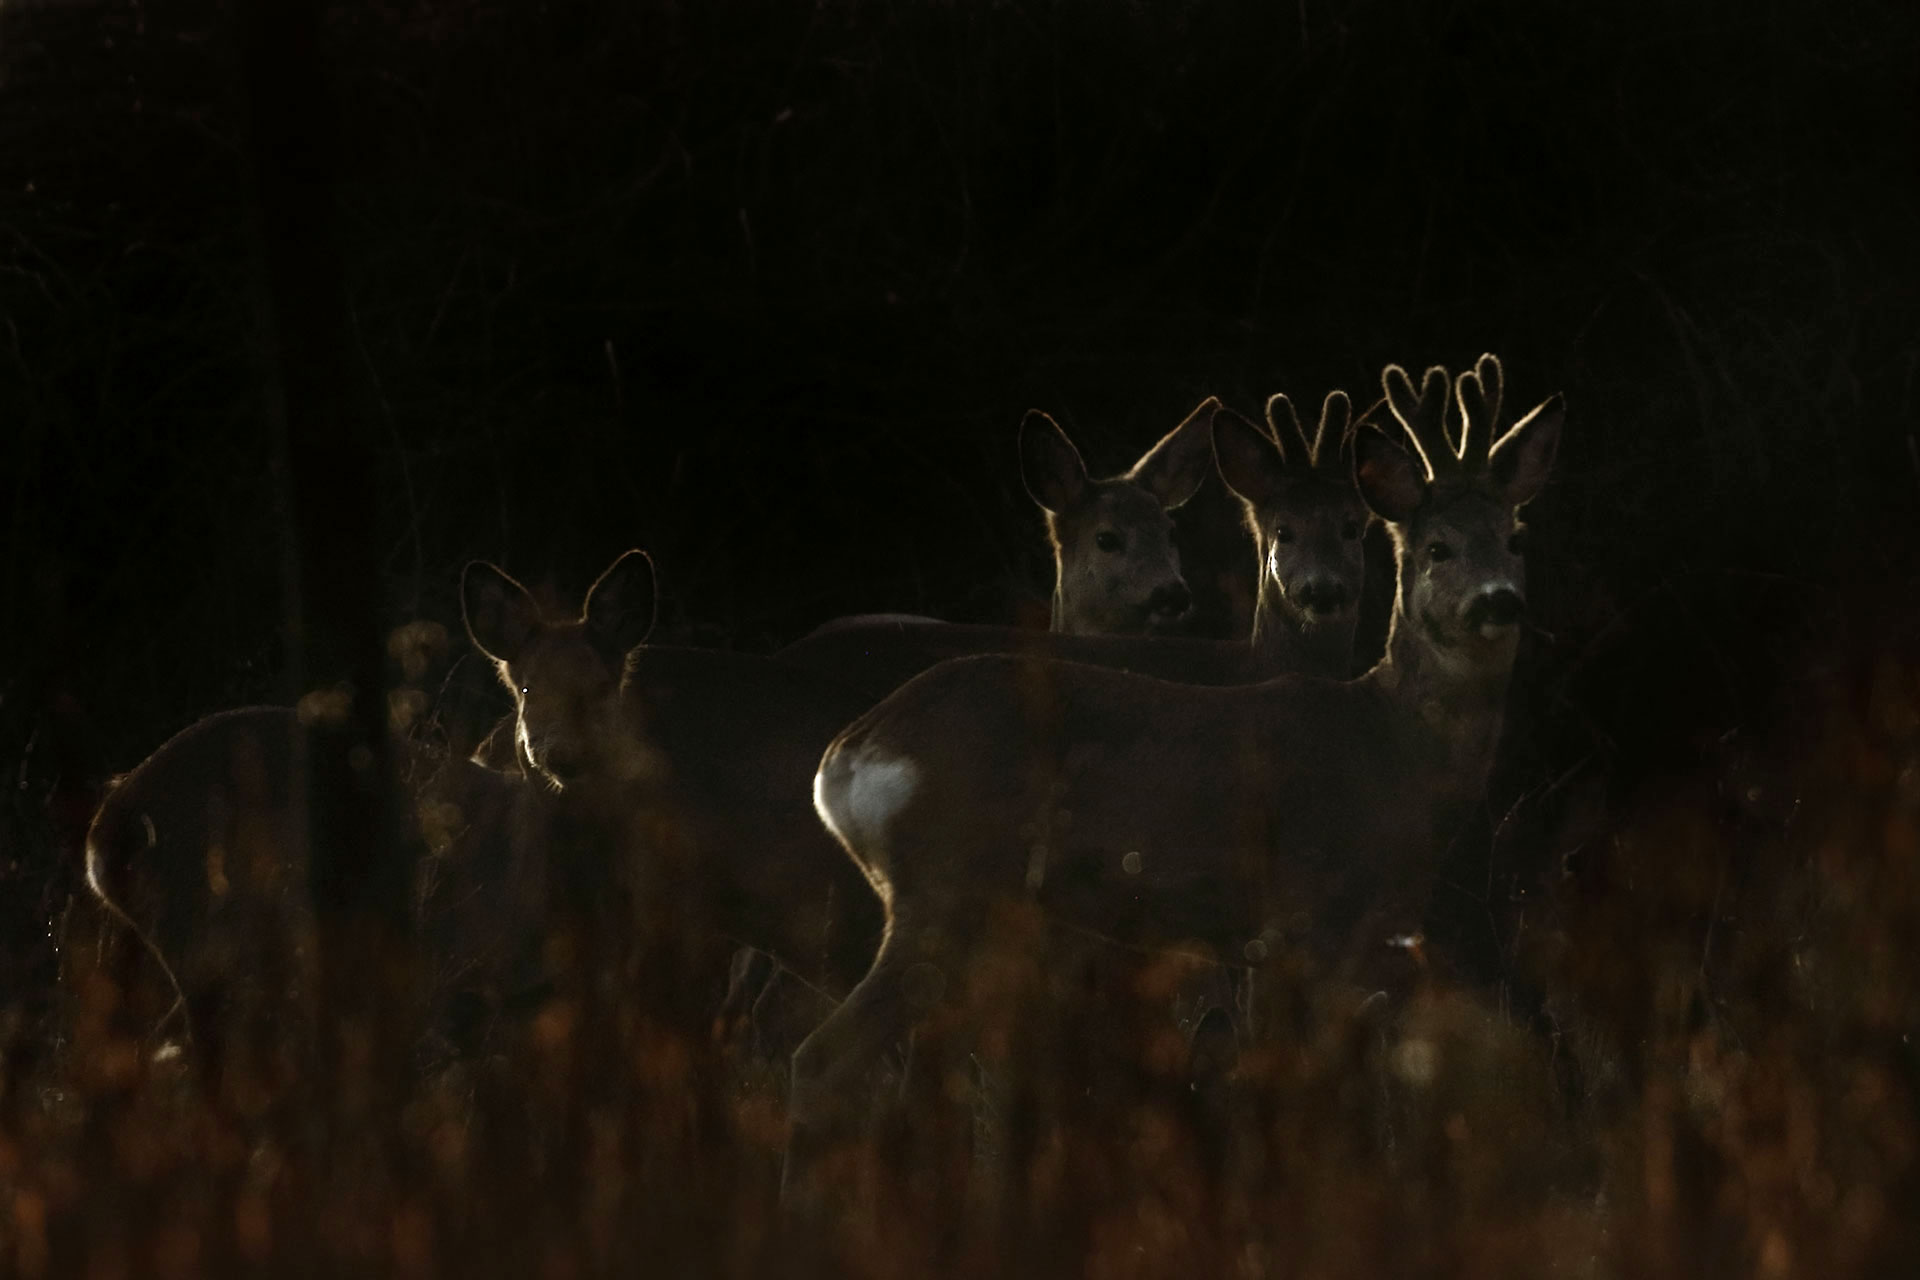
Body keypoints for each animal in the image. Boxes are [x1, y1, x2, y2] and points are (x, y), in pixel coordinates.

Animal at [788, 354, 1564, 1206]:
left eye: (1516, 537)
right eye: (1436, 548)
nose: (1500, 600)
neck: (1393, 751)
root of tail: (846, 758)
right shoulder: (1315, 920)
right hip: (945, 887)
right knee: (821, 1057)